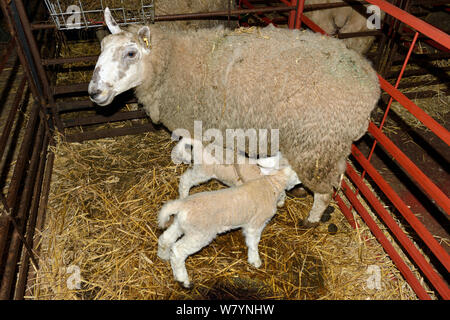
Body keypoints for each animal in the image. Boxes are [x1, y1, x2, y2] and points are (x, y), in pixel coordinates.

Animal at [88, 8, 380, 228]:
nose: (93, 92)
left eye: (131, 53)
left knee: (324, 191)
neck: (171, 65)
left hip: (317, 144)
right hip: (326, 145)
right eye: (101, 48)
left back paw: (311, 220)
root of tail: (370, 85)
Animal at [156, 152, 300, 288]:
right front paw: (255, 260)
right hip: (199, 234)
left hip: (180, 225)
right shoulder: (255, 224)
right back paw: (183, 279)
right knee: (178, 250)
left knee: (165, 239)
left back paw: (163, 256)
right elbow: (253, 243)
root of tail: (183, 205)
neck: (271, 185)